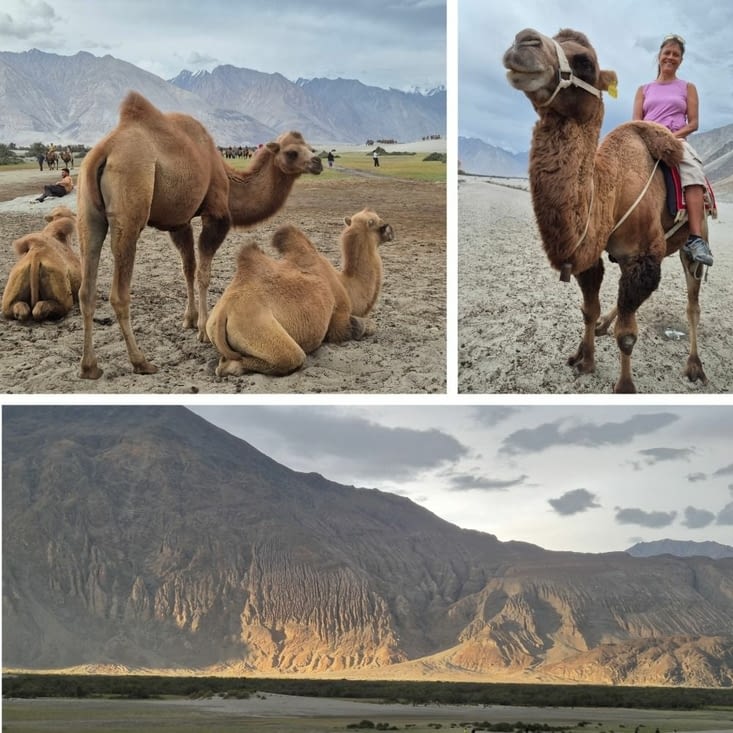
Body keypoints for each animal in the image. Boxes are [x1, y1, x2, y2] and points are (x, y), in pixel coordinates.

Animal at [76, 91, 323, 379]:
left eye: (310, 147)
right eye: (292, 152)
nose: (318, 162)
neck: (226, 175)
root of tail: (103, 152)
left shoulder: (179, 222)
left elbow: (189, 269)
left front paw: (189, 320)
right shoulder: (216, 215)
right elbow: (204, 272)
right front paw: (204, 329)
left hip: (88, 213)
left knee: (86, 288)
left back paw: (89, 367)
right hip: (130, 204)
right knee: (119, 293)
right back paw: (141, 362)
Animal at [206, 208, 394, 376]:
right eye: (380, 223)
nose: (392, 231)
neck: (346, 285)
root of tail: (223, 312)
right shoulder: (339, 318)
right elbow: (363, 327)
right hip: (259, 329)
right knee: (291, 358)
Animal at [503, 28, 709, 393]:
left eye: (586, 62)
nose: (523, 41)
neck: (610, 191)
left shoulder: (643, 258)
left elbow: (627, 336)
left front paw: (624, 386)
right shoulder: (595, 254)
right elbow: (589, 307)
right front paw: (584, 358)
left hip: (691, 242)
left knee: (692, 303)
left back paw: (695, 365)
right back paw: (603, 324)